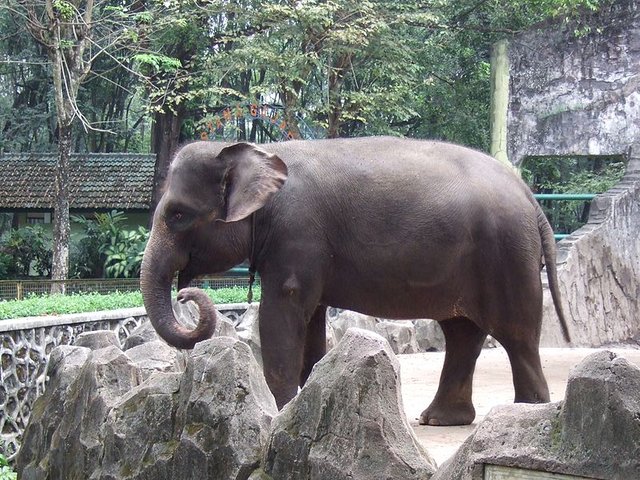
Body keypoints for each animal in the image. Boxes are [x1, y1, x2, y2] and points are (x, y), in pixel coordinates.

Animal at [141, 137, 568, 426]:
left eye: (177, 215)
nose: (186, 293)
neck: (262, 152)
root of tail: (530, 198)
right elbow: (310, 320)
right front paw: (303, 400)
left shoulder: (296, 235)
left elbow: (283, 310)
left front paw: (279, 413)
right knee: (463, 332)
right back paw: (439, 419)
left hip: (507, 255)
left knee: (516, 332)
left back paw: (527, 413)